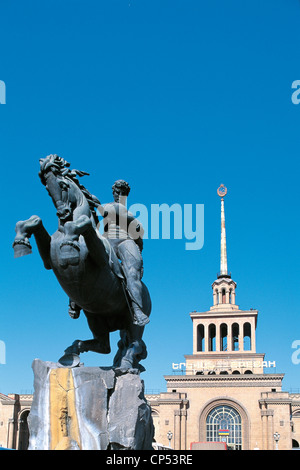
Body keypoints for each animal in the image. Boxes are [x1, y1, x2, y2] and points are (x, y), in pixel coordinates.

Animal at [12, 156, 151, 372]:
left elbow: (82, 224)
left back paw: (125, 364)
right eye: (47, 188)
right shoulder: (48, 261)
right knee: (104, 345)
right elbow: (35, 220)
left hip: (133, 321)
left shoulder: (101, 258)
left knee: (134, 342)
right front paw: (21, 241)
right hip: (95, 318)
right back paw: (72, 353)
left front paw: (70, 243)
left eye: (62, 185)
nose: (63, 213)